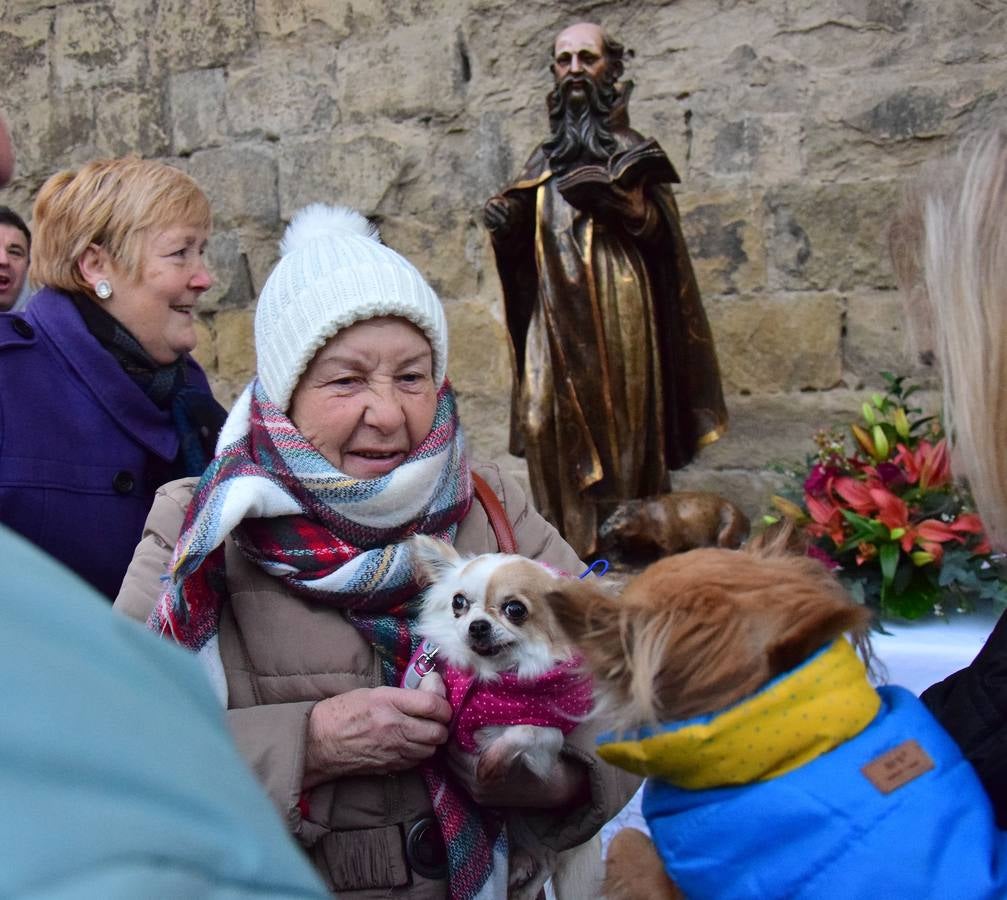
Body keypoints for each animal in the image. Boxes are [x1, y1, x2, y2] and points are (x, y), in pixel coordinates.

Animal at [408, 539, 596, 897]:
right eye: (458, 602)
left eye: (515, 610)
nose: (477, 625)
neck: (491, 677)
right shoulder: (442, 675)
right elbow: (433, 681)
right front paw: (435, 699)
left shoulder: (549, 740)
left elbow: (524, 731)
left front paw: (490, 762)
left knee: (545, 862)